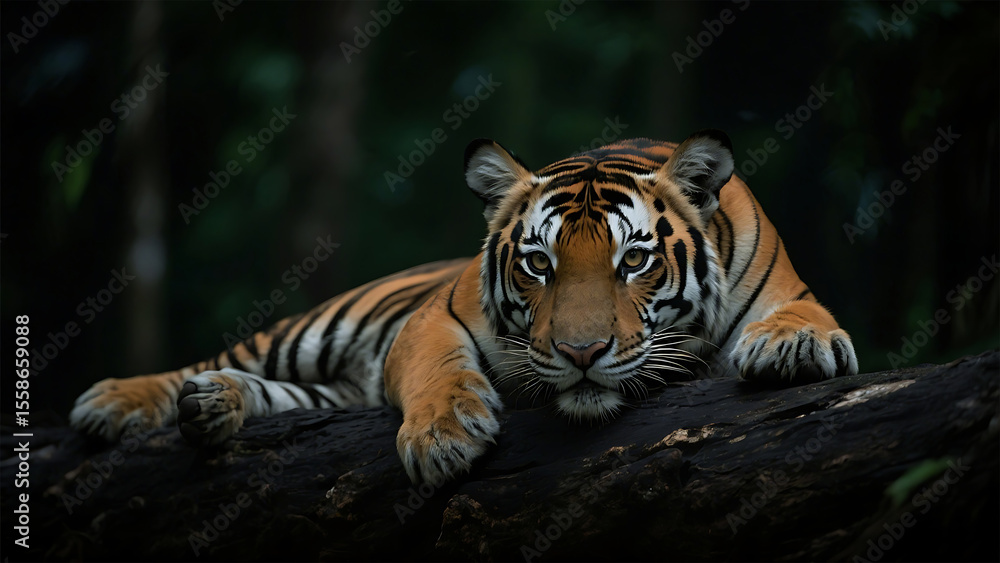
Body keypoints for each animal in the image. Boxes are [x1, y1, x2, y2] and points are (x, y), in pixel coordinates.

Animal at [70, 130, 858, 484]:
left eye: (633, 260)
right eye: (539, 263)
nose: (580, 353)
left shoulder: (792, 290)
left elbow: (808, 317)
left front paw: (791, 346)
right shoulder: (433, 319)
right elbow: (438, 368)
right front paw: (444, 436)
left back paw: (212, 407)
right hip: (309, 330)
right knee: (212, 361)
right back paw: (118, 400)